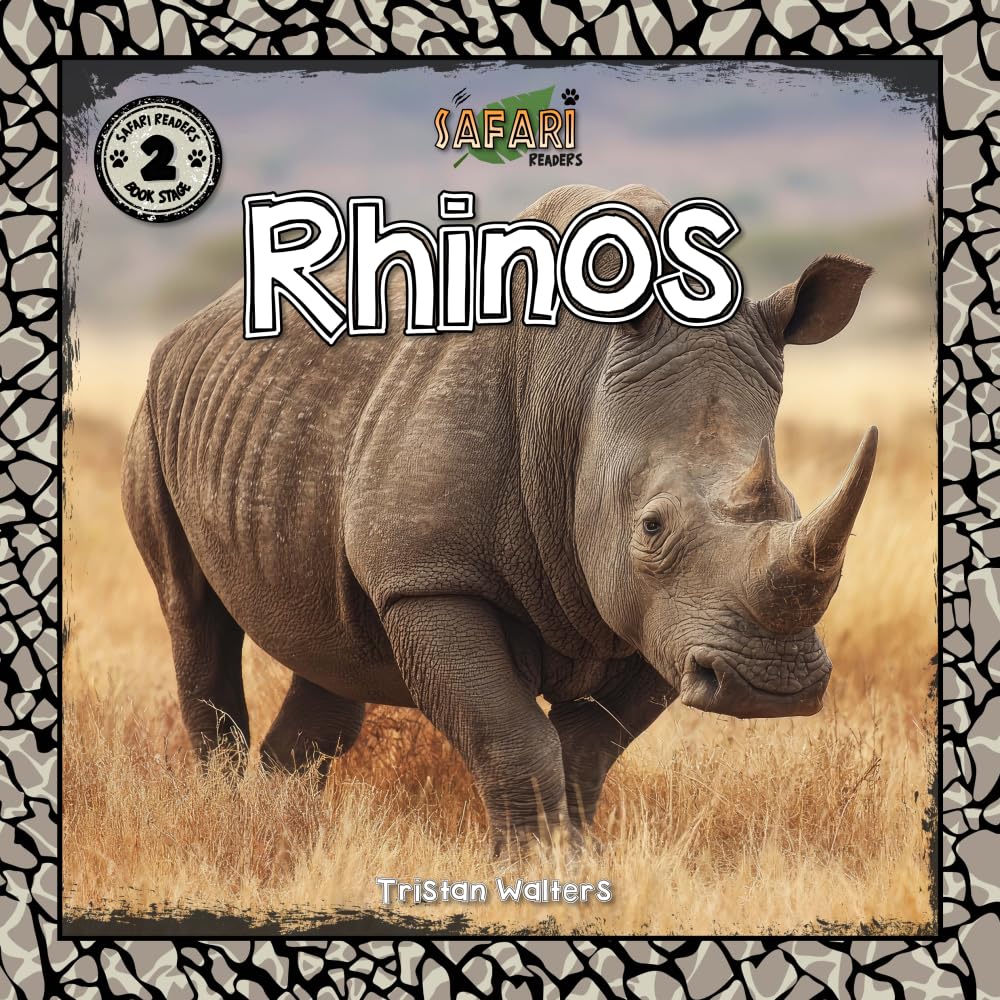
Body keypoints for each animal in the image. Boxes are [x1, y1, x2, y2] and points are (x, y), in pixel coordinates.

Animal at [122, 183, 877, 853]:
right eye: (652, 527)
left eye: (791, 506)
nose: (769, 684)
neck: (581, 394)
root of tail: (198, 319)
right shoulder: (431, 578)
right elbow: (510, 736)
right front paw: (523, 869)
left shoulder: (663, 619)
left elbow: (586, 750)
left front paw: (573, 863)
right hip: (155, 409)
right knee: (192, 615)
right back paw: (224, 818)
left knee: (331, 657)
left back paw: (285, 825)